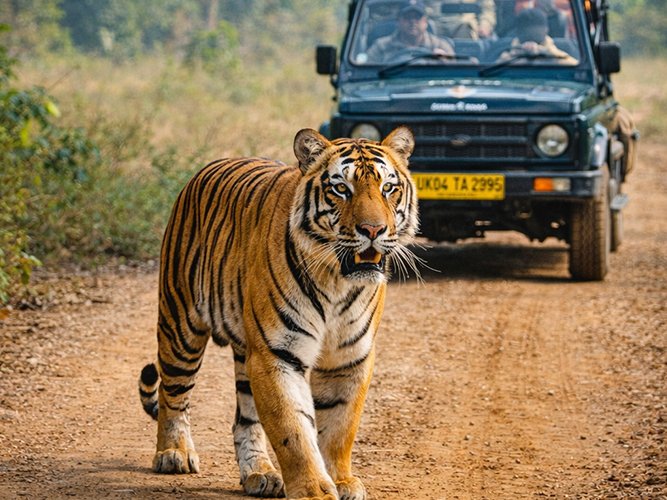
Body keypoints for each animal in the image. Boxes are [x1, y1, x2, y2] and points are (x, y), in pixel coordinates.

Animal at [138, 126, 419, 499]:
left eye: (389, 188)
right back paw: (174, 453)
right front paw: (314, 490)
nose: (373, 230)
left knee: (244, 420)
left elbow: (340, 427)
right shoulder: (277, 354)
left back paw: (260, 473)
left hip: (246, 354)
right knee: (173, 395)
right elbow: (294, 430)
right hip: (181, 325)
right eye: (341, 189)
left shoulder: (349, 358)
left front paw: (341, 480)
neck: (337, 281)